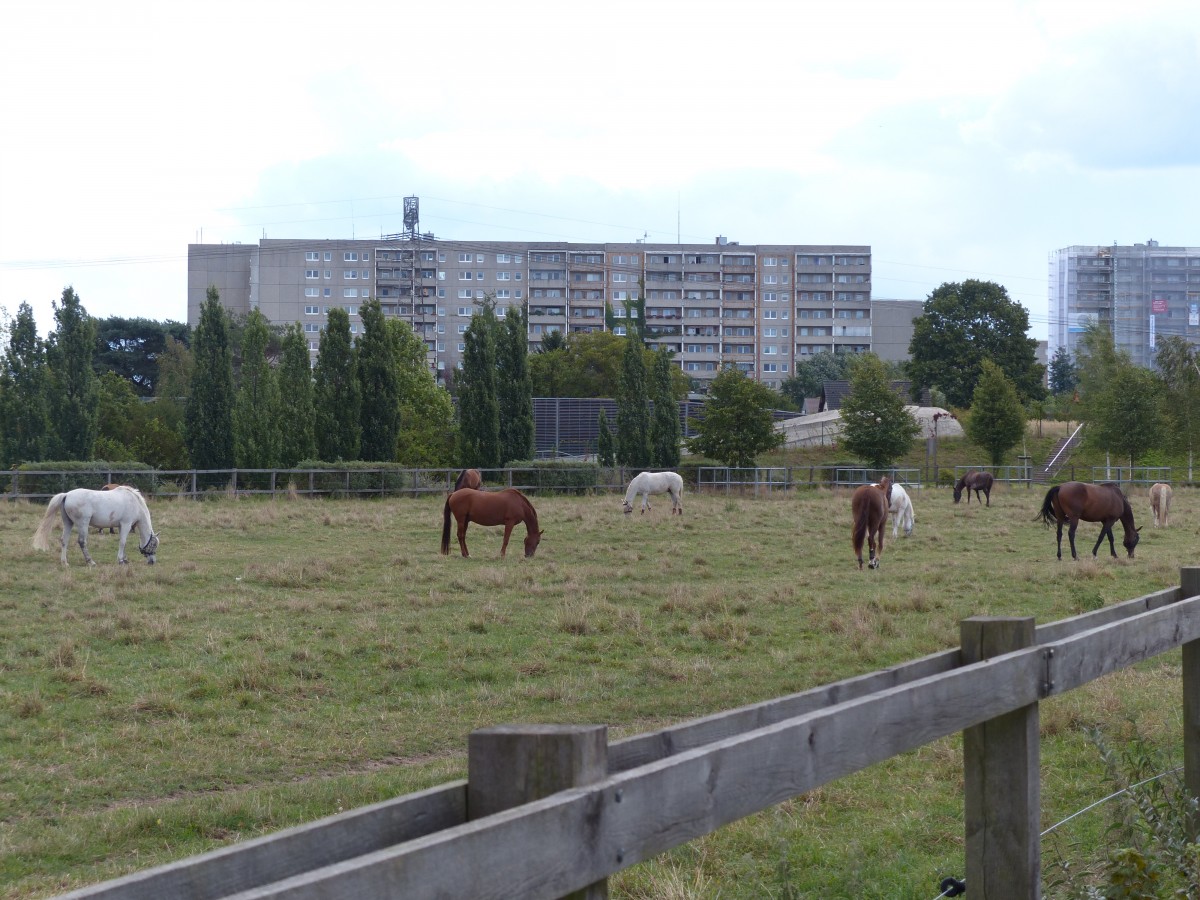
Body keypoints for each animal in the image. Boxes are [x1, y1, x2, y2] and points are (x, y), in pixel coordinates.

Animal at [30, 487, 159, 564]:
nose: (152, 561)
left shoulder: (120, 526)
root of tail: (67, 495)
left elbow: (122, 542)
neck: (135, 502)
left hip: (68, 523)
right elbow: (123, 542)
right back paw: (90, 561)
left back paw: (64, 562)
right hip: (83, 524)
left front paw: (124, 558)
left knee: (64, 540)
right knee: (82, 542)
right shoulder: (126, 525)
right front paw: (120, 560)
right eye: (154, 545)